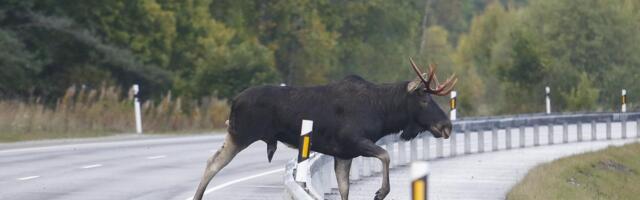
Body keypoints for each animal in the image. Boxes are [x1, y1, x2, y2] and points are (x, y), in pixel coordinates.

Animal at [192, 58, 458, 200]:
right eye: (424, 99)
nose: (447, 126)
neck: (383, 113)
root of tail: (233, 101)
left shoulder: (344, 154)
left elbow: (344, 189)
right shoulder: (353, 141)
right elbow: (385, 155)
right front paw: (381, 191)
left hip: (234, 134)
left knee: (211, 161)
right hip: (241, 134)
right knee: (213, 163)